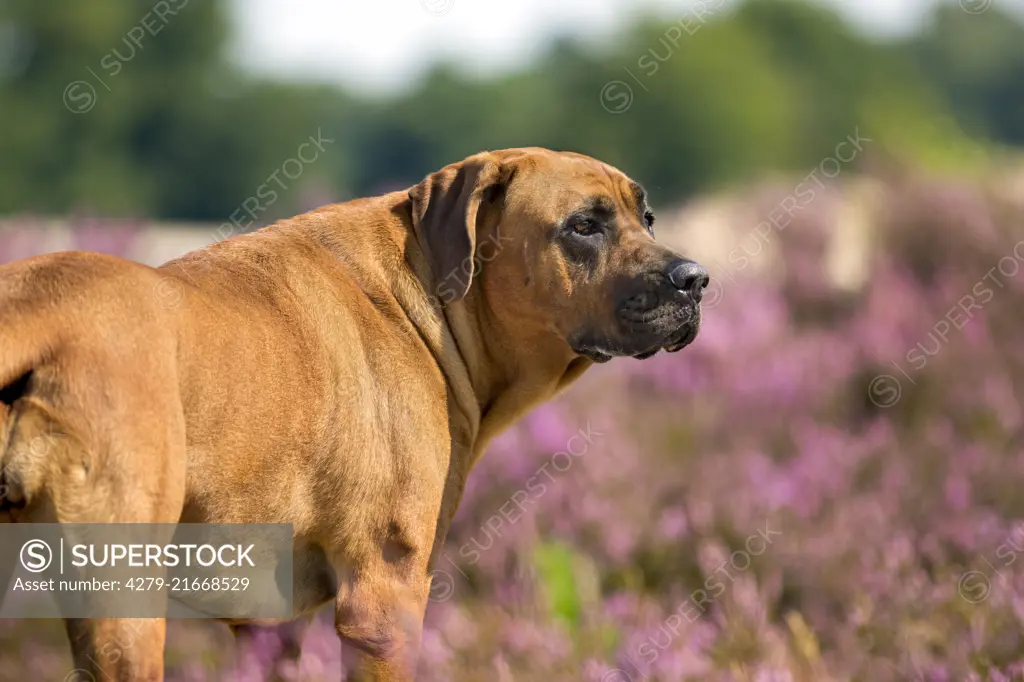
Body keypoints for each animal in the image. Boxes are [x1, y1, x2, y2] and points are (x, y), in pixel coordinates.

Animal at [0, 150, 704, 679]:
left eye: (647, 217)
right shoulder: (383, 604)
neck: (432, 301)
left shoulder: (269, 626)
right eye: (583, 225)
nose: (695, 279)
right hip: (121, 601)